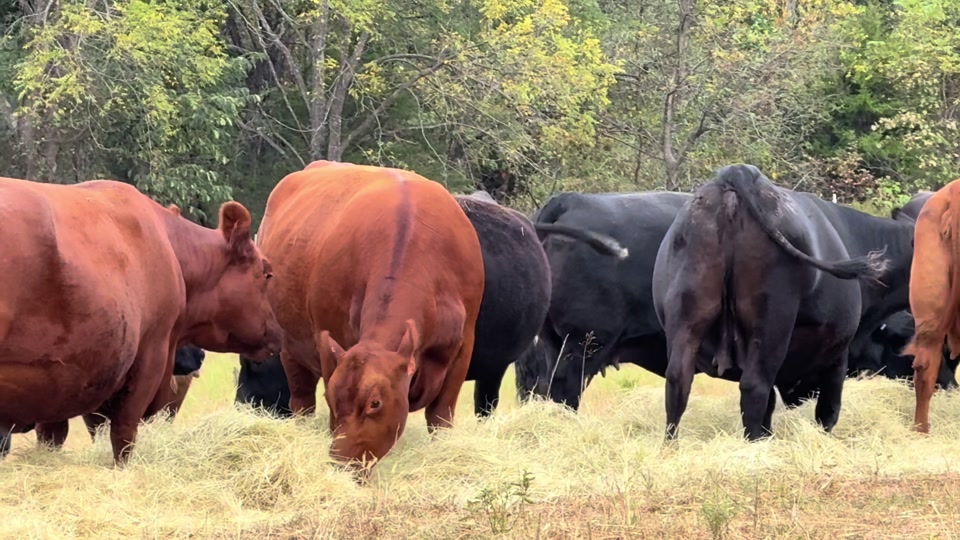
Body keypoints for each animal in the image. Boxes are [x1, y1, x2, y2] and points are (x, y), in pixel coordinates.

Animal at [258, 160, 486, 469]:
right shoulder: (331, 343)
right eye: (331, 397)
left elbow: (440, 416)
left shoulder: (464, 344)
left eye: (375, 403)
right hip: (291, 351)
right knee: (302, 401)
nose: (341, 463)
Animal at [652, 164, 910, 441]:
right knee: (754, 387)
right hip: (771, 318)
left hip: (687, 311)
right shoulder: (839, 354)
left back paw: (671, 445)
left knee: (678, 381)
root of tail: (737, 172)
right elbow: (828, 410)